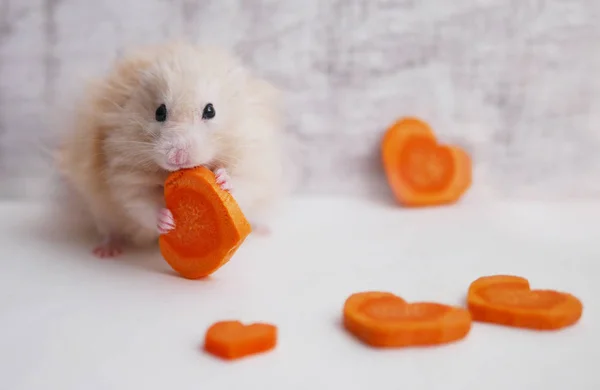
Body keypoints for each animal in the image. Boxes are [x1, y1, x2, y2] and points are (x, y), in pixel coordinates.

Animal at [55, 42, 284, 258]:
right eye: (160, 111)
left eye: (210, 110)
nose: (176, 157)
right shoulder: (126, 173)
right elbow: (142, 201)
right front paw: (167, 221)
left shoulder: (253, 158)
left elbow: (243, 182)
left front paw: (222, 179)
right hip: (99, 207)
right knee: (108, 230)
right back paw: (106, 251)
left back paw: (262, 230)